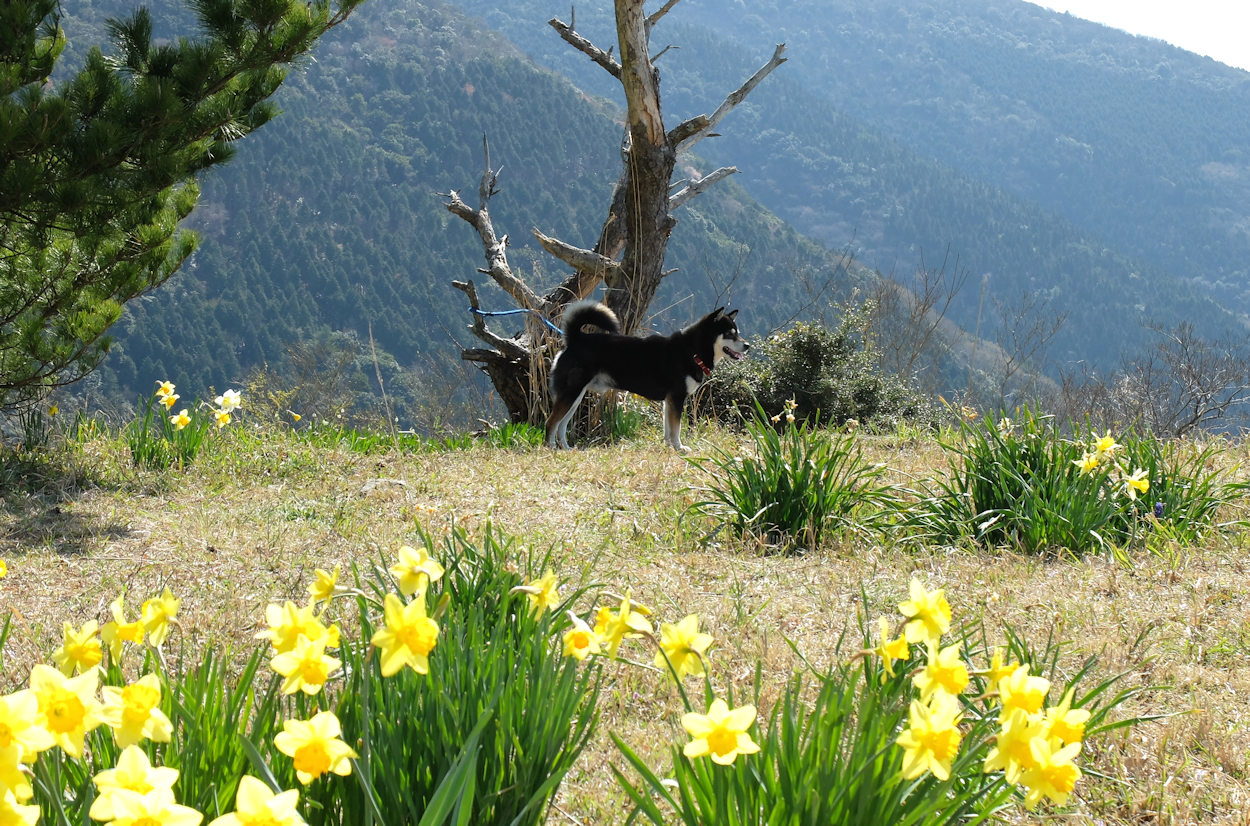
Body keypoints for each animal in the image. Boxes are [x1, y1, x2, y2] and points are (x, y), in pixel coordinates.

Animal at [545, 300, 749, 452]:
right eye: (730, 334)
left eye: (738, 333)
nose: (747, 345)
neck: (692, 351)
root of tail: (575, 339)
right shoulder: (677, 398)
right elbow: (676, 428)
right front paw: (679, 448)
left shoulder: (669, 401)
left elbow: (668, 428)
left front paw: (668, 446)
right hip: (571, 394)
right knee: (551, 422)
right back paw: (551, 448)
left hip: (575, 396)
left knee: (562, 425)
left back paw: (566, 448)